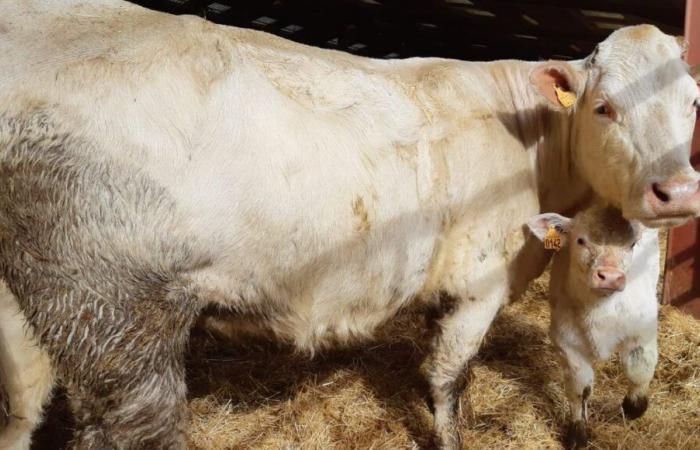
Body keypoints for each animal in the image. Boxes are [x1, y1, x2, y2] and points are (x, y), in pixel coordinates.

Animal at [528, 205, 660, 450]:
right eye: (580, 240)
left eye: (632, 245)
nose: (610, 277)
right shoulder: (567, 343)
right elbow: (580, 389)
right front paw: (578, 434)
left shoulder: (642, 333)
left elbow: (639, 370)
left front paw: (633, 407)